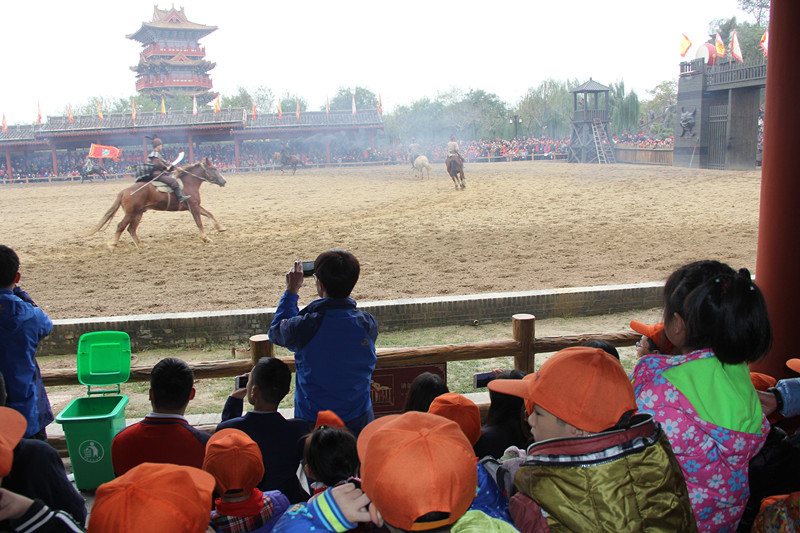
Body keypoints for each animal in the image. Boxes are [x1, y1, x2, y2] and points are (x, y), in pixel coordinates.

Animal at [85, 158, 228, 251]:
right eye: (214, 168)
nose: (224, 181)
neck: (188, 183)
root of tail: (124, 192)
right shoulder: (193, 206)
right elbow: (199, 222)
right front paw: (205, 238)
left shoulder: (194, 206)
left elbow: (209, 214)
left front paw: (220, 227)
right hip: (131, 213)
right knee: (121, 226)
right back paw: (112, 245)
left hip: (138, 213)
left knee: (131, 229)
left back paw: (141, 245)